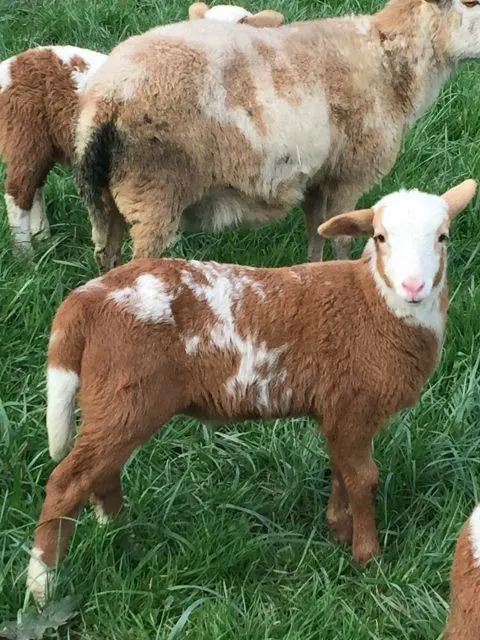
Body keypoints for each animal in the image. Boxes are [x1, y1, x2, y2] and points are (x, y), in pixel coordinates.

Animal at [0, 46, 107, 254]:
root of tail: (10, 66)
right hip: (24, 134)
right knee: (17, 192)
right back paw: (25, 254)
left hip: (43, 145)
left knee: (35, 187)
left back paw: (44, 239)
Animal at [25, 178, 476, 604]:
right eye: (381, 237)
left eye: (443, 237)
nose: (414, 286)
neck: (373, 305)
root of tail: (85, 299)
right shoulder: (355, 406)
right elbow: (363, 478)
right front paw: (369, 557)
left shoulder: (338, 409)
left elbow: (341, 472)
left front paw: (338, 531)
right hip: (127, 395)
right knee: (68, 481)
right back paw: (43, 584)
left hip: (113, 402)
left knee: (100, 472)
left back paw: (122, 536)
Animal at [75, 0, 480, 274]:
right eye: (470, 3)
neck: (388, 62)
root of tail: (107, 98)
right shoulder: (348, 174)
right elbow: (342, 237)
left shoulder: (318, 175)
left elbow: (317, 230)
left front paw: (314, 273)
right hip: (156, 190)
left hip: (104, 195)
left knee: (105, 256)